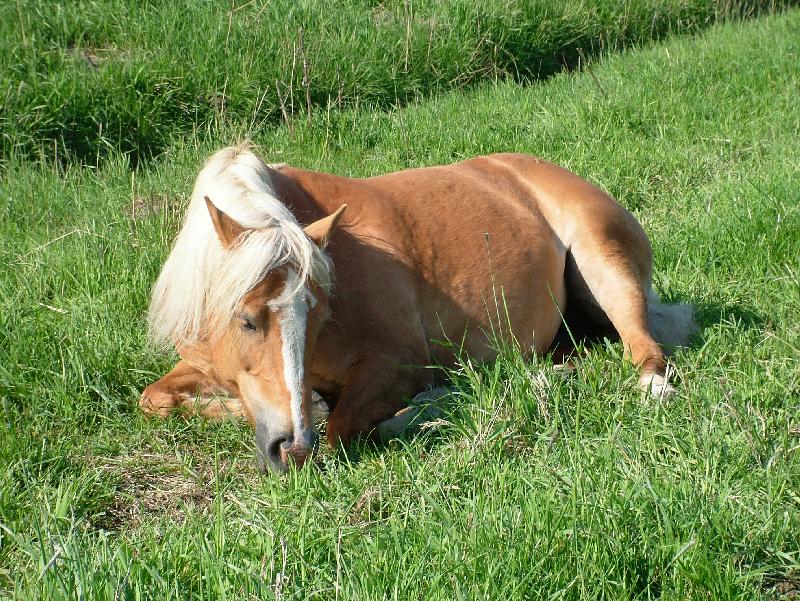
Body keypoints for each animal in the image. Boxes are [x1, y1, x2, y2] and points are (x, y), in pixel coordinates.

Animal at [142, 144, 692, 468]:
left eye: (320, 315)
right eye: (246, 320)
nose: (292, 448)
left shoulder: (397, 363)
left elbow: (341, 429)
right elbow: (155, 399)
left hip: (605, 264)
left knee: (642, 347)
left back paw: (652, 388)